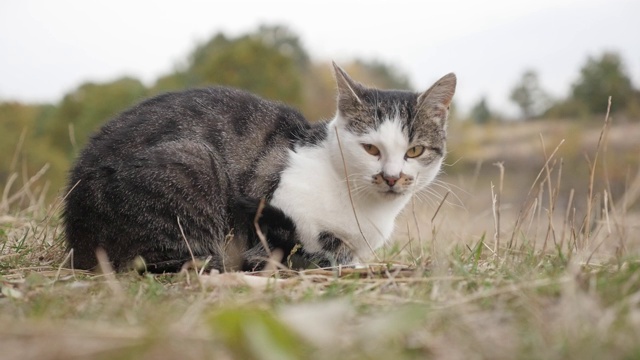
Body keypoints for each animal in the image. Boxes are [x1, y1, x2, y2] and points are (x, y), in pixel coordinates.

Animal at [63, 63, 456, 272]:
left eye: (415, 151)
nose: (391, 177)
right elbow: (310, 250)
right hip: (192, 160)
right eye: (371, 149)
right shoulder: (276, 213)